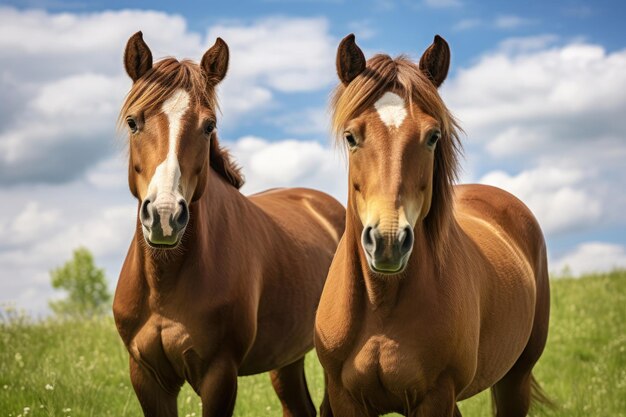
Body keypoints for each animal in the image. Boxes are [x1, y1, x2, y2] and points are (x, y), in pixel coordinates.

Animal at [114, 32, 344, 416]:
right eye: (133, 122)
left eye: (209, 126)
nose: (164, 216)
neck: (165, 284)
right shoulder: (146, 376)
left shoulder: (219, 374)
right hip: (287, 358)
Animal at [314, 35, 548, 416]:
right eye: (350, 137)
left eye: (433, 136)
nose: (388, 241)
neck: (382, 306)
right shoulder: (345, 398)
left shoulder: (436, 396)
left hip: (516, 379)